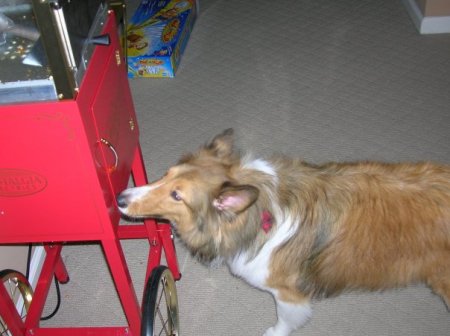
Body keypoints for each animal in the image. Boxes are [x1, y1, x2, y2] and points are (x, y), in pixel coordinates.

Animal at [117, 129, 450, 336]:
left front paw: (273, 332)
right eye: (167, 174)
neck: (257, 214)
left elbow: (286, 320)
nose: (120, 198)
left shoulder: (288, 294)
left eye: (177, 195)